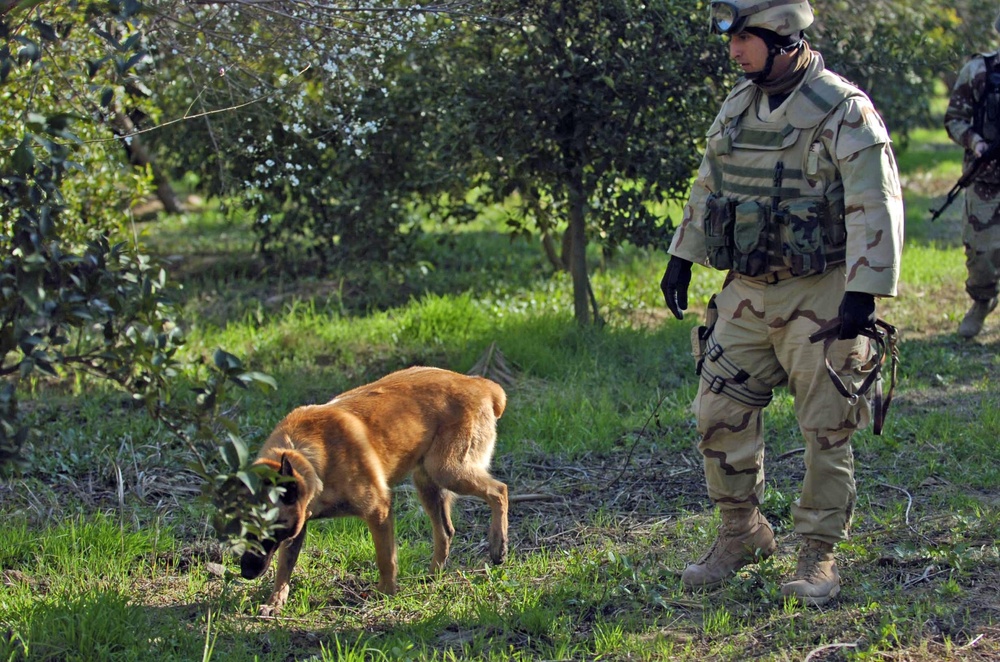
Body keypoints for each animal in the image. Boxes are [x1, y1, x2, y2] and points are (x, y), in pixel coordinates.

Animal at [240, 366, 508, 616]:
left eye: (270, 529)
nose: (245, 572)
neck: (308, 456)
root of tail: (480, 384)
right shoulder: (298, 527)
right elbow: (284, 568)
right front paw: (275, 601)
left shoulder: (378, 510)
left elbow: (385, 558)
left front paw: (386, 593)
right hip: (427, 483)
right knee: (446, 531)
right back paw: (432, 576)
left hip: (447, 470)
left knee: (499, 491)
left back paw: (498, 544)